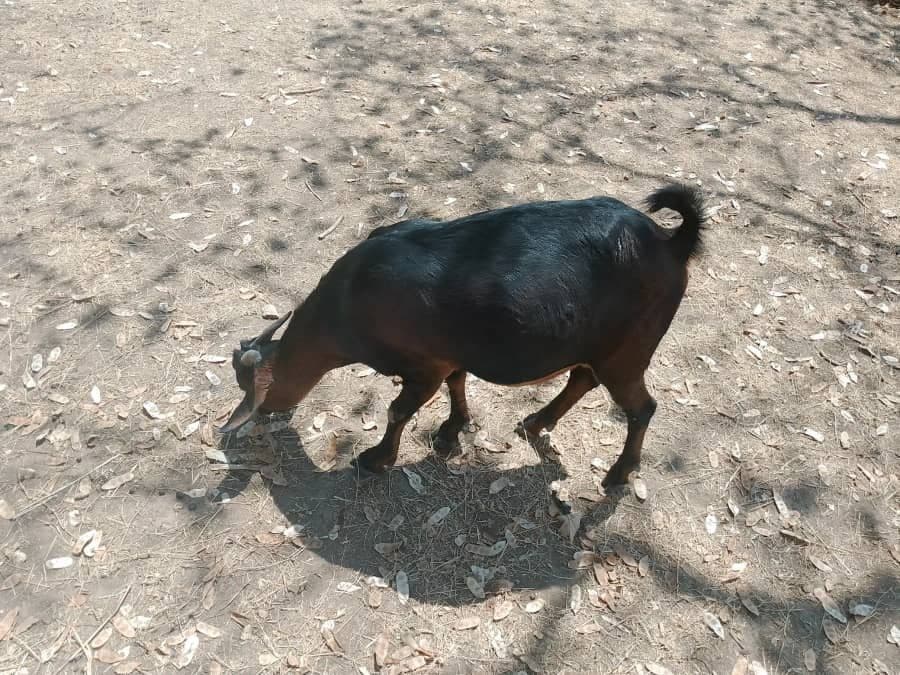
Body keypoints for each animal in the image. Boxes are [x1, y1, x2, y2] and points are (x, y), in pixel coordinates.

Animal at [221, 183, 706, 488]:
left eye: (258, 391)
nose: (259, 421)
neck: (349, 302)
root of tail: (671, 242)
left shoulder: (424, 365)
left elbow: (398, 410)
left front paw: (376, 459)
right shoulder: (448, 355)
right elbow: (457, 383)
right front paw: (451, 431)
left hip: (629, 350)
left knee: (640, 407)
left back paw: (619, 474)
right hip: (599, 346)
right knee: (582, 379)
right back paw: (536, 421)